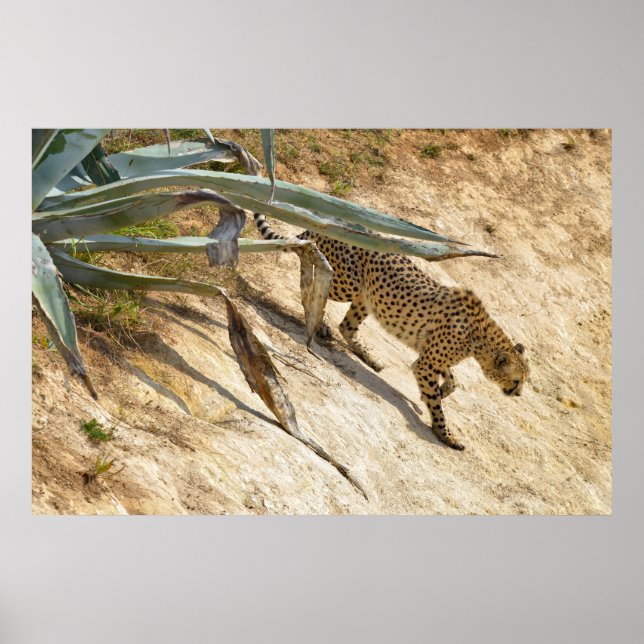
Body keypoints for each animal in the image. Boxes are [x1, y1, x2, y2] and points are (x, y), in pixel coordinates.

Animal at [254, 213, 529, 450]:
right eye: (516, 380)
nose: (517, 395)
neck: (480, 337)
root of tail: (334, 224)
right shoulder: (426, 364)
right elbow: (439, 405)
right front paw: (445, 433)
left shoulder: (432, 356)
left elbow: (453, 381)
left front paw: (440, 392)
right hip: (348, 284)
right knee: (311, 285)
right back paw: (317, 322)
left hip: (366, 295)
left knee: (346, 325)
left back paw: (369, 357)